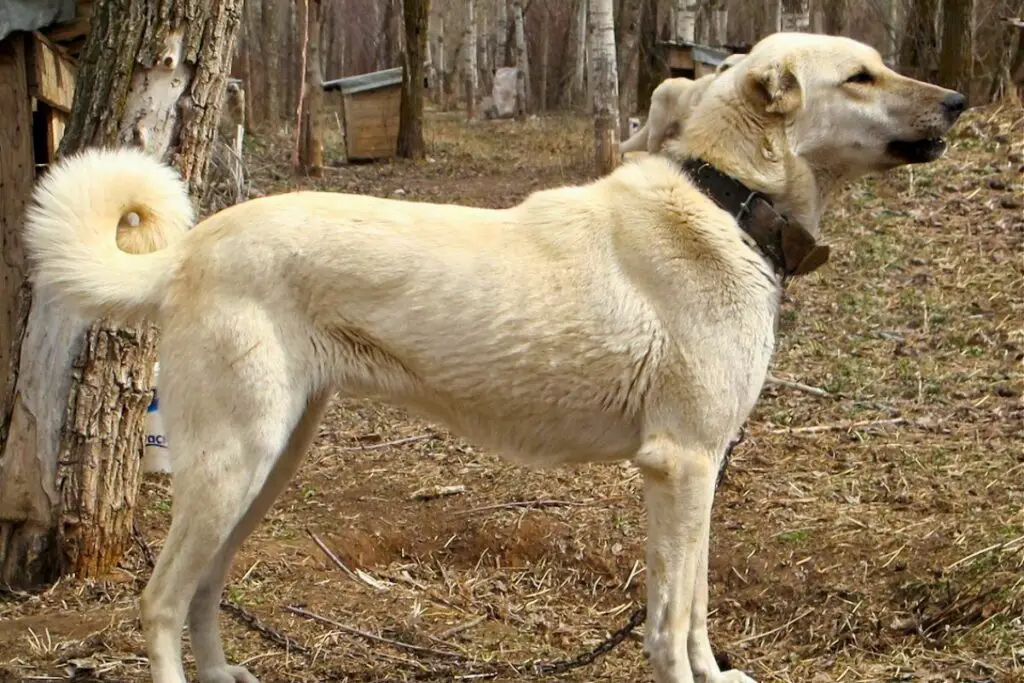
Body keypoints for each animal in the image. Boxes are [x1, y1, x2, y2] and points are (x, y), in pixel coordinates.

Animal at [25, 31, 966, 683]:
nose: (960, 101)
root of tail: (190, 249)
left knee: (205, 586)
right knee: (160, 598)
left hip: (266, 465)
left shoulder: (699, 470)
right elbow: (671, 619)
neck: (727, 200)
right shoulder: (681, 464)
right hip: (234, 463)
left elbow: (697, 606)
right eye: (862, 75)